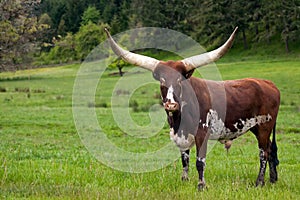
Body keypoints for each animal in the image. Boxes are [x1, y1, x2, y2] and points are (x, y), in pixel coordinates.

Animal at [104, 27, 280, 190]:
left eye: (180, 80)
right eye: (162, 82)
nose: (171, 105)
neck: (179, 119)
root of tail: (269, 84)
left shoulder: (202, 132)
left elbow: (199, 162)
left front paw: (201, 185)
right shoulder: (180, 135)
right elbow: (184, 160)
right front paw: (184, 180)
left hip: (264, 127)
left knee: (263, 153)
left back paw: (259, 182)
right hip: (257, 127)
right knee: (270, 149)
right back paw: (272, 179)